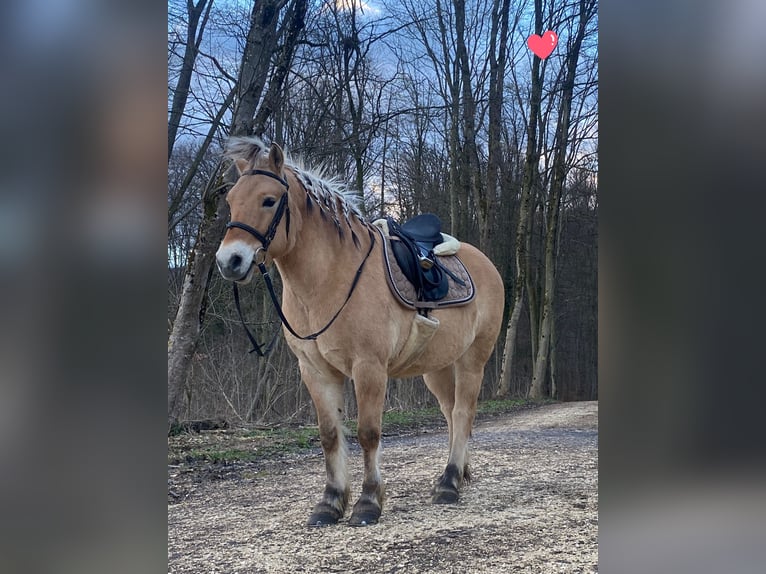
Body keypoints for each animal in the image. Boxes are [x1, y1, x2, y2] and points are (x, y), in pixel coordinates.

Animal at [215, 138, 504, 526]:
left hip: (473, 360)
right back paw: (457, 473)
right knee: (451, 413)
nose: (229, 261)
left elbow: (368, 433)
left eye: (269, 200)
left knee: (463, 413)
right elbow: (329, 436)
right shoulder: (315, 371)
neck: (330, 278)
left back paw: (449, 483)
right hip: (437, 367)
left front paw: (368, 502)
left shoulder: (369, 367)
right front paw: (330, 503)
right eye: (231, 201)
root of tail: (486, 263)